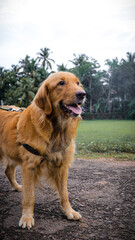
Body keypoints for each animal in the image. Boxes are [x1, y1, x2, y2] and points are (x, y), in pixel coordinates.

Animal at [0, 71, 85, 229]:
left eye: (77, 83)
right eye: (61, 83)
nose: (82, 94)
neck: (55, 131)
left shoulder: (62, 166)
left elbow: (64, 194)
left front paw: (69, 211)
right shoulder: (29, 166)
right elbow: (29, 197)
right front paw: (27, 217)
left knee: (8, 170)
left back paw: (17, 186)